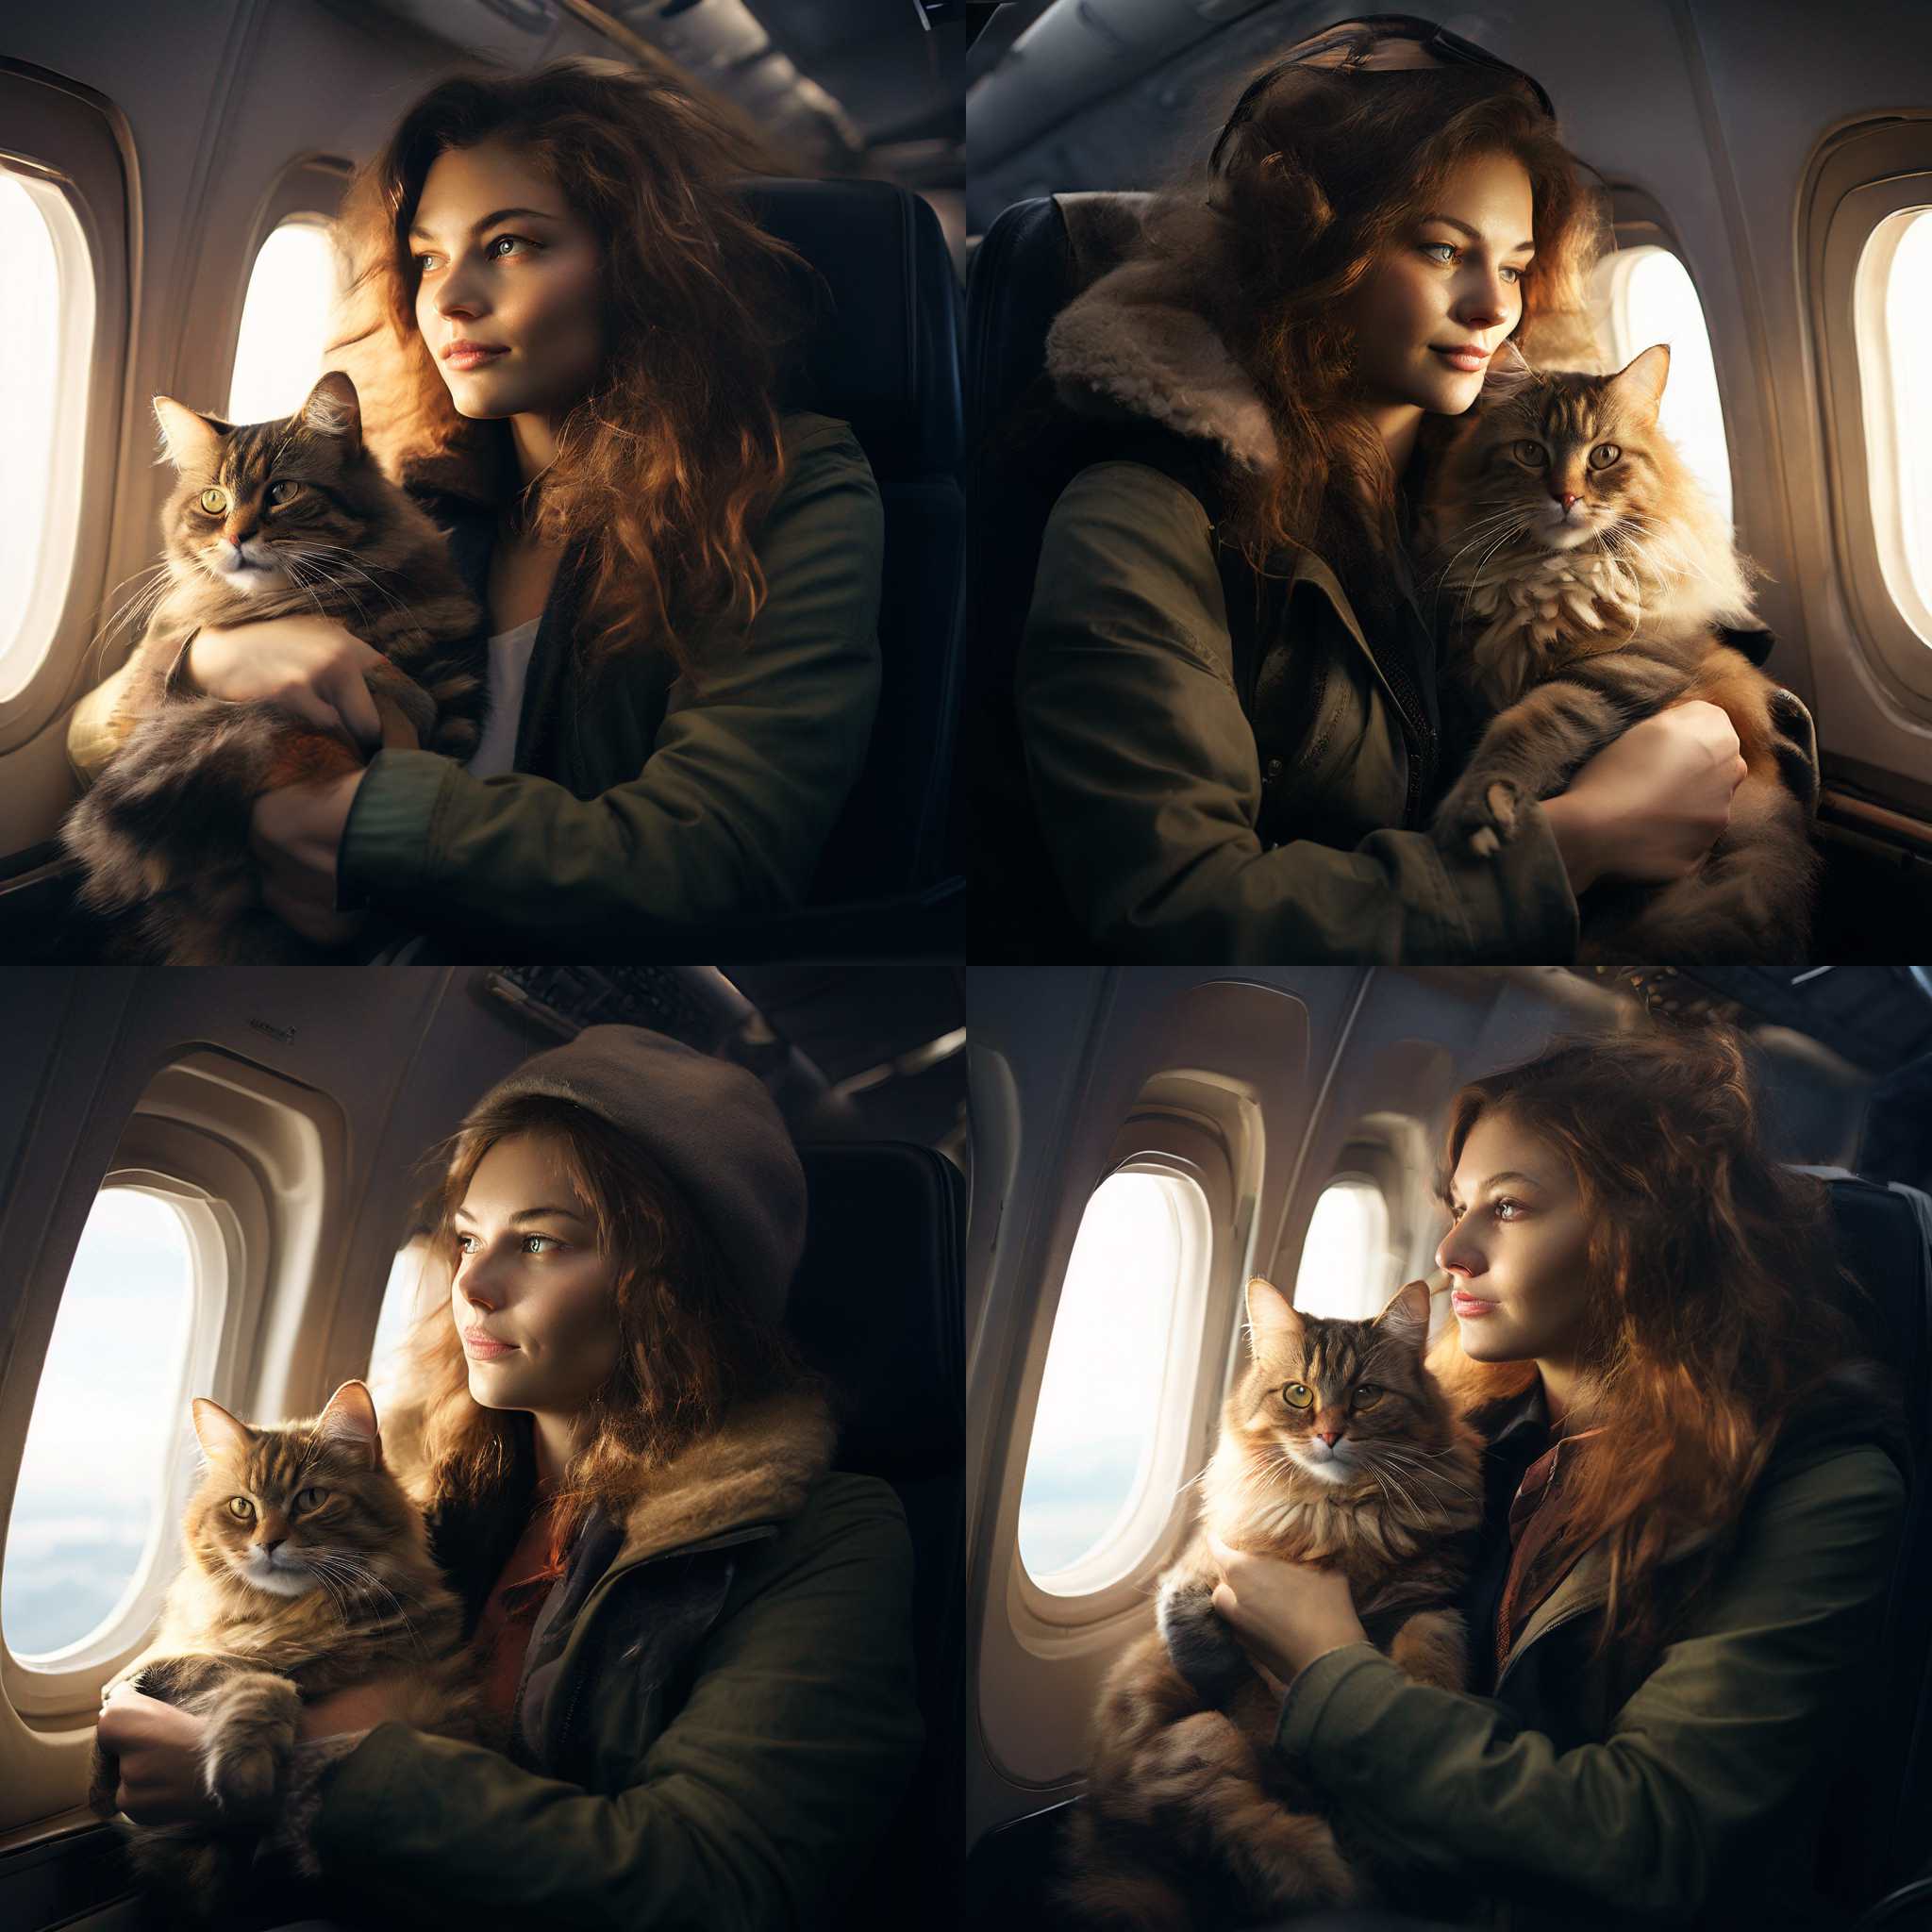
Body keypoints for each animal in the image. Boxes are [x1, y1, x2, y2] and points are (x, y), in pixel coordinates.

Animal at [93, 1383, 494, 1924]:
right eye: (242, 1508)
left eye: (311, 1499)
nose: (268, 1543)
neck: (293, 1616)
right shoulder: (196, 1662)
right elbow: (242, 1676)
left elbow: (264, 1685)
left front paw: (245, 1772)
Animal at [1066, 1274, 1483, 1924]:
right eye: (1298, 1395)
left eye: (1366, 1395)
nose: (1330, 1434)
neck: (1341, 1519)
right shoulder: (1195, 1582)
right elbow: (1229, 1673)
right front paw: (1274, 1729)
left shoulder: (1427, 1597)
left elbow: (1428, 1649)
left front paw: (1428, 1704)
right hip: (1196, 1744)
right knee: (1238, 1820)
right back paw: (1325, 1864)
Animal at [1414, 340, 1816, 966]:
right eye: (1530, 453)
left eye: (1604, 456)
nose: (1565, 496)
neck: (1549, 576)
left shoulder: (1620, 670)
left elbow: (1524, 727)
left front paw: (1474, 807)